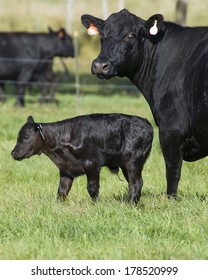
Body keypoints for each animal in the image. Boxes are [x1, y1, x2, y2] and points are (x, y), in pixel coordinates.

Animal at [11, 114, 153, 203]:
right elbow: (62, 190)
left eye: (26, 137)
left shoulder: (92, 165)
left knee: (136, 183)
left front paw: (96, 205)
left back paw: (130, 203)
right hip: (126, 165)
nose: (13, 153)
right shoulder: (66, 170)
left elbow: (92, 188)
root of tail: (146, 122)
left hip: (134, 161)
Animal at [81, 9, 208, 198]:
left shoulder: (171, 128)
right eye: (102, 35)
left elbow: (172, 169)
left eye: (131, 35)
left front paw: (171, 199)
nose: (100, 65)